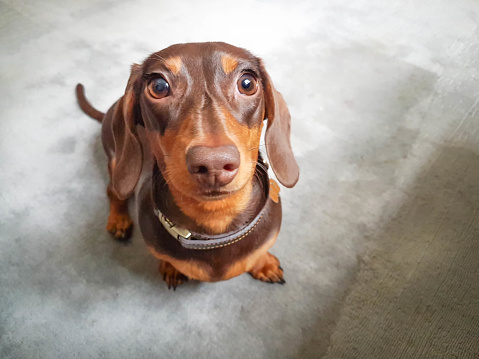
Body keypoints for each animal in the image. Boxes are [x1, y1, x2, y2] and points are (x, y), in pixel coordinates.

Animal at [75, 42, 298, 290]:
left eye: (247, 83)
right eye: (159, 86)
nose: (213, 164)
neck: (215, 223)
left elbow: (258, 253)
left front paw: (263, 264)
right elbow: (165, 258)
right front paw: (171, 268)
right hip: (117, 163)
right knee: (113, 191)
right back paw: (119, 220)